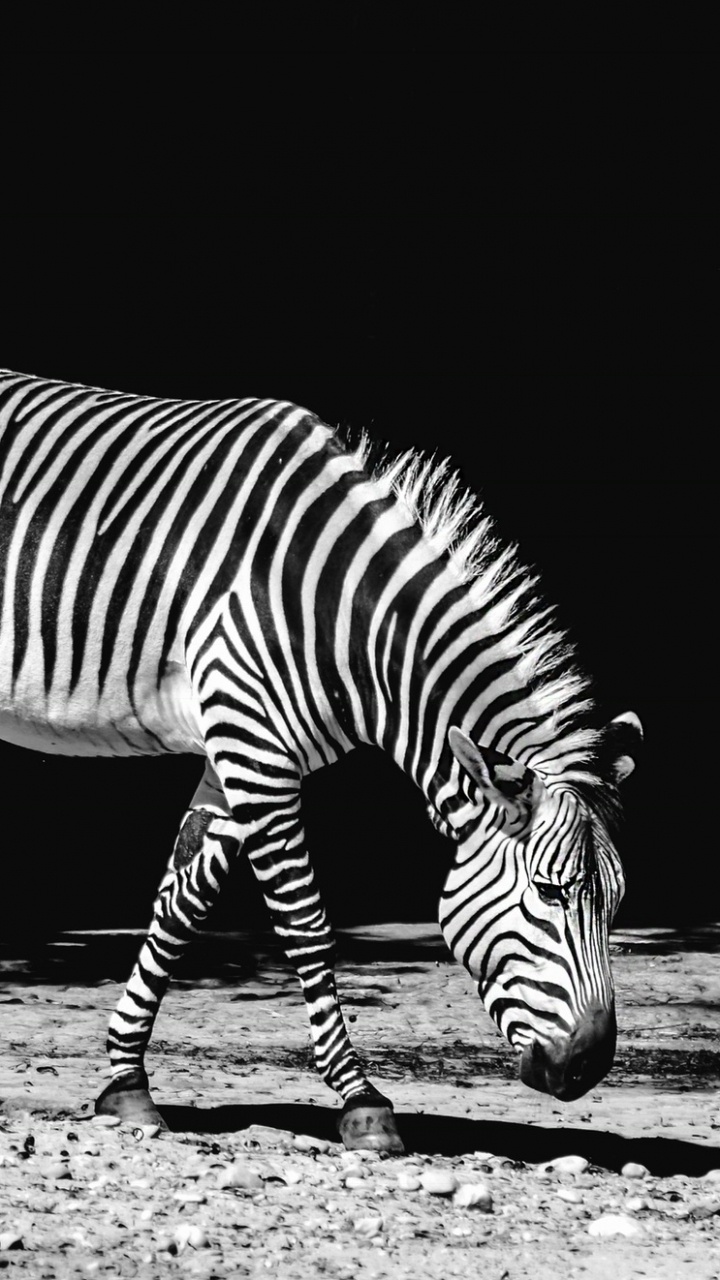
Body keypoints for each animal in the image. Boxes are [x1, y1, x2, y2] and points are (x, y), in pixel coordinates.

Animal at [0, 369, 642, 1154]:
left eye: (616, 904)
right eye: (550, 894)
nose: (589, 1068)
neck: (338, 614)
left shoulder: (236, 752)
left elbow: (179, 906)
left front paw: (127, 1084)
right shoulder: (252, 744)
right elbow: (305, 922)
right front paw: (361, 1100)